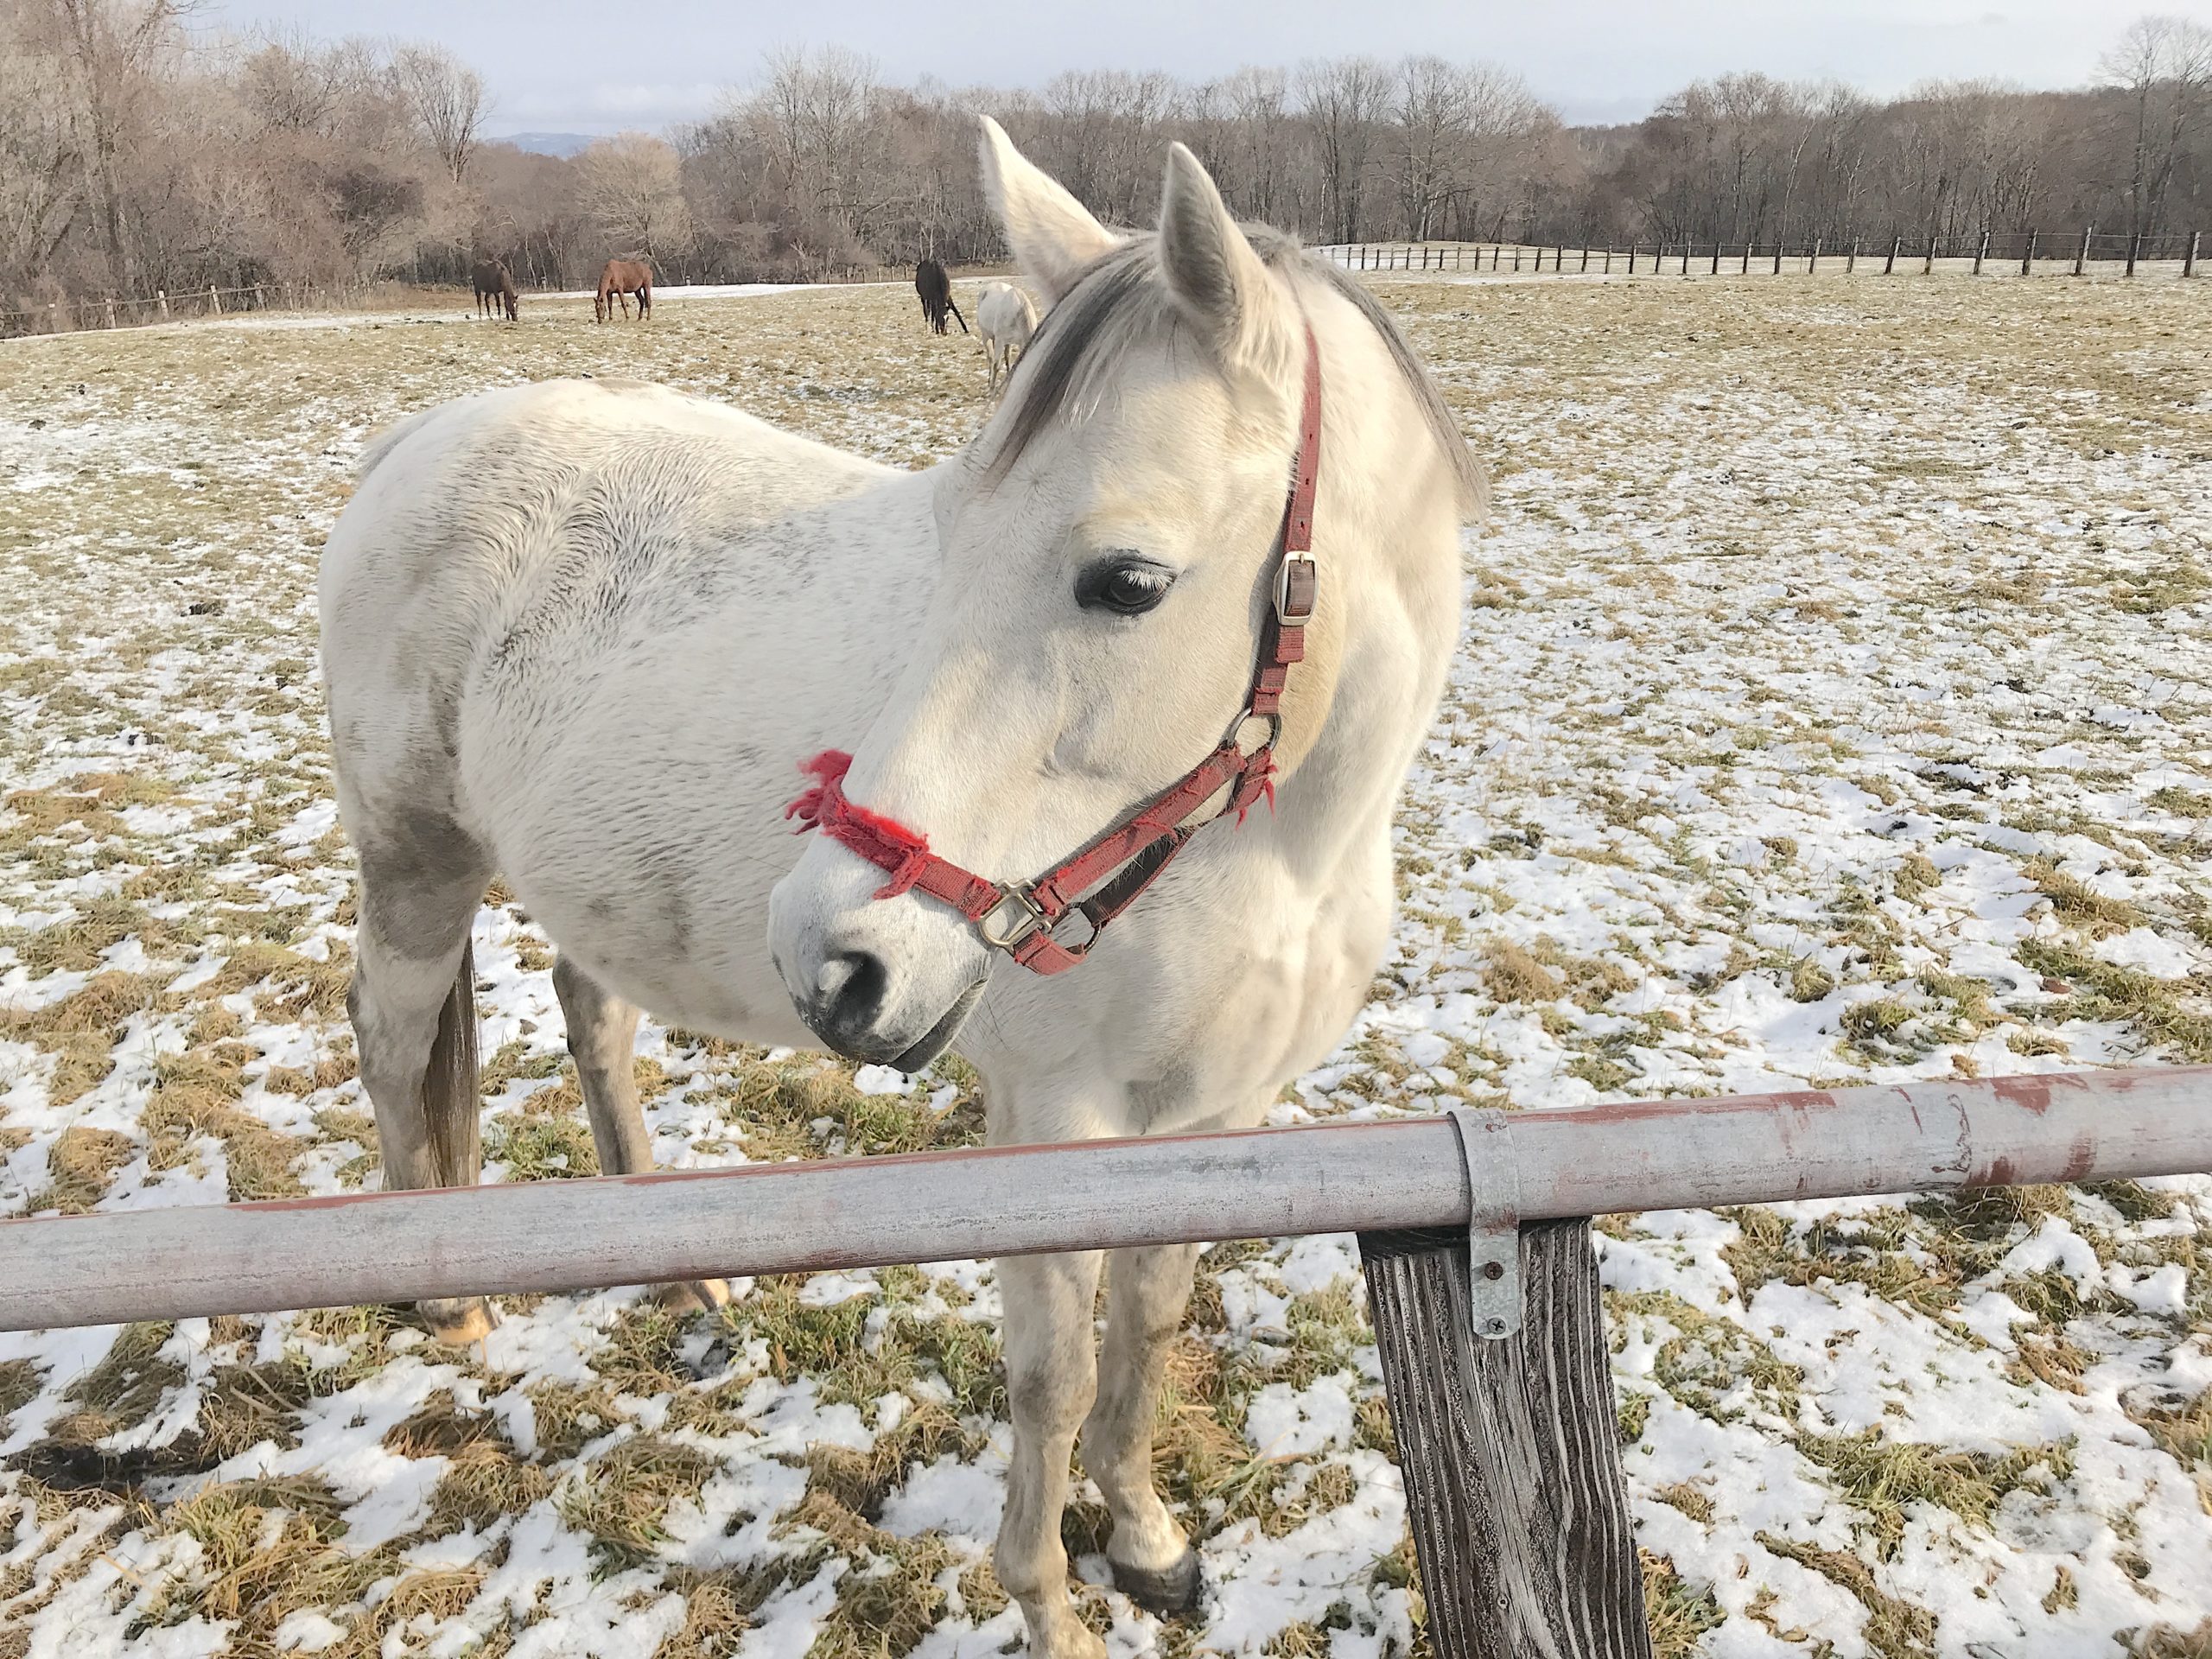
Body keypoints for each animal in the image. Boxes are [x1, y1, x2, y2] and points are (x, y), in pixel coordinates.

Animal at [977, 283, 1035, 396]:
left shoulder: (1020, 343)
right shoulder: (1000, 341)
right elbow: (996, 365)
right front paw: (992, 389)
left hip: (1007, 342)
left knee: (1007, 357)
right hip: (986, 336)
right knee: (991, 358)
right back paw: (989, 381)